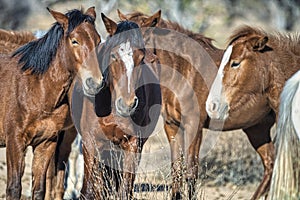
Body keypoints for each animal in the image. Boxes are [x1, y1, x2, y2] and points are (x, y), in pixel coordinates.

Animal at [0, 7, 102, 199]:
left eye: (98, 40)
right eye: (74, 41)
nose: (95, 82)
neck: (36, 89)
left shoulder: (46, 143)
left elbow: (40, 188)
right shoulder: (15, 143)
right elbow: (14, 188)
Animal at [69, 13, 162, 198]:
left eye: (141, 58)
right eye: (113, 56)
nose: (127, 104)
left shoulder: (133, 145)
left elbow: (124, 190)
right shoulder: (91, 145)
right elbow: (92, 190)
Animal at [118, 10, 278, 200]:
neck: (183, 69)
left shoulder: (195, 125)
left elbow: (191, 171)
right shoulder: (172, 125)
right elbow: (176, 168)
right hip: (257, 129)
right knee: (270, 163)